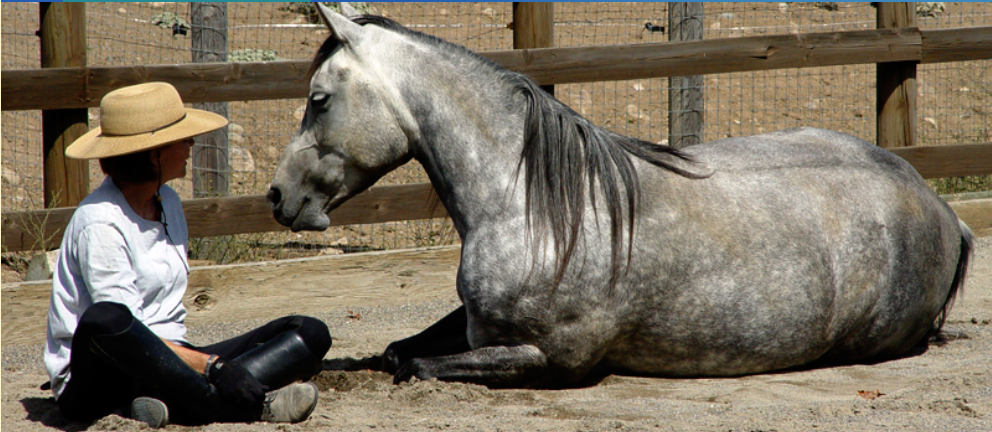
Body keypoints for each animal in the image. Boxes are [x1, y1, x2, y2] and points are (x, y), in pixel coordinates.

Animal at [268, 2, 972, 388]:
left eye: (318, 99)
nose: (277, 196)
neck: (530, 205)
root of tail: (939, 207)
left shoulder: (551, 358)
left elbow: (411, 366)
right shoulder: (475, 324)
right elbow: (396, 351)